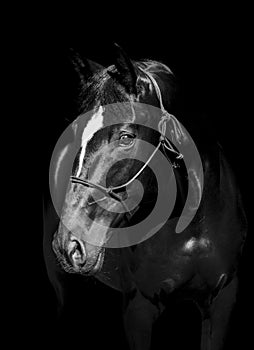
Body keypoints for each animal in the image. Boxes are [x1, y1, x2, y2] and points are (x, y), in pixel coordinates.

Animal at [43, 45, 246, 348]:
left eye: (126, 136)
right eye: (76, 133)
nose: (69, 244)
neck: (191, 225)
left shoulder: (222, 302)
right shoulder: (138, 309)